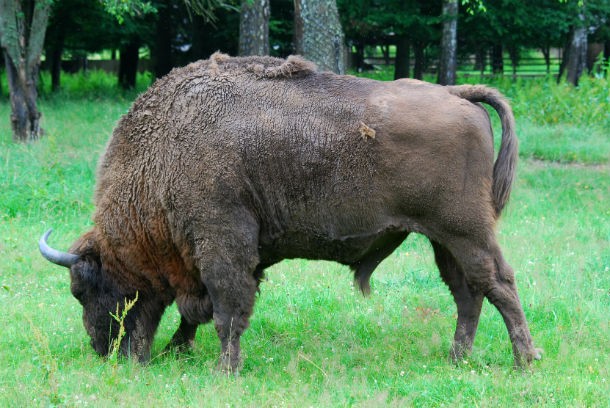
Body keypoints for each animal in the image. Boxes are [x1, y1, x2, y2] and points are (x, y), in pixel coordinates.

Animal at [40, 53, 540, 372]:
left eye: (82, 289)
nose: (104, 351)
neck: (163, 154)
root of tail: (458, 94)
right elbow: (198, 311)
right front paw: (178, 352)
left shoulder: (222, 242)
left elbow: (226, 308)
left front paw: (224, 368)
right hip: (442, 239)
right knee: (468, 292)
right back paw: (458, 358)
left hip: (465, 231)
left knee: (497, 282)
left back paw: (524, 360)